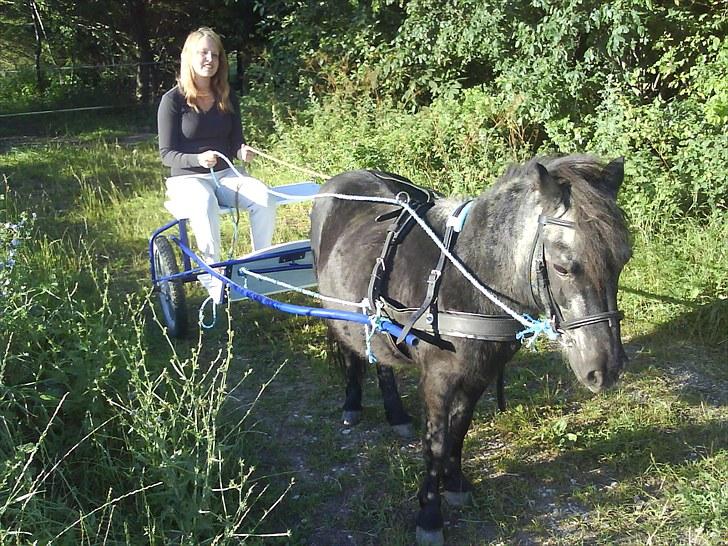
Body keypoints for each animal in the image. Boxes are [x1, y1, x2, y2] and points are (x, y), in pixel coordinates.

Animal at [309, 155, 632, 545]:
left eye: (623, 260)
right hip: (337, 310)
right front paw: (429, 515)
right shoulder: (438, 379)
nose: (606, 369)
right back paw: (352, 404)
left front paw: (456, 484)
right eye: (562, 267)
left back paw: (396, 414)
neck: (469, 278)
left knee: (380, 357)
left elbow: (459, 427)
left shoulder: (480, 373)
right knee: (352, 353)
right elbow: (435, 442)